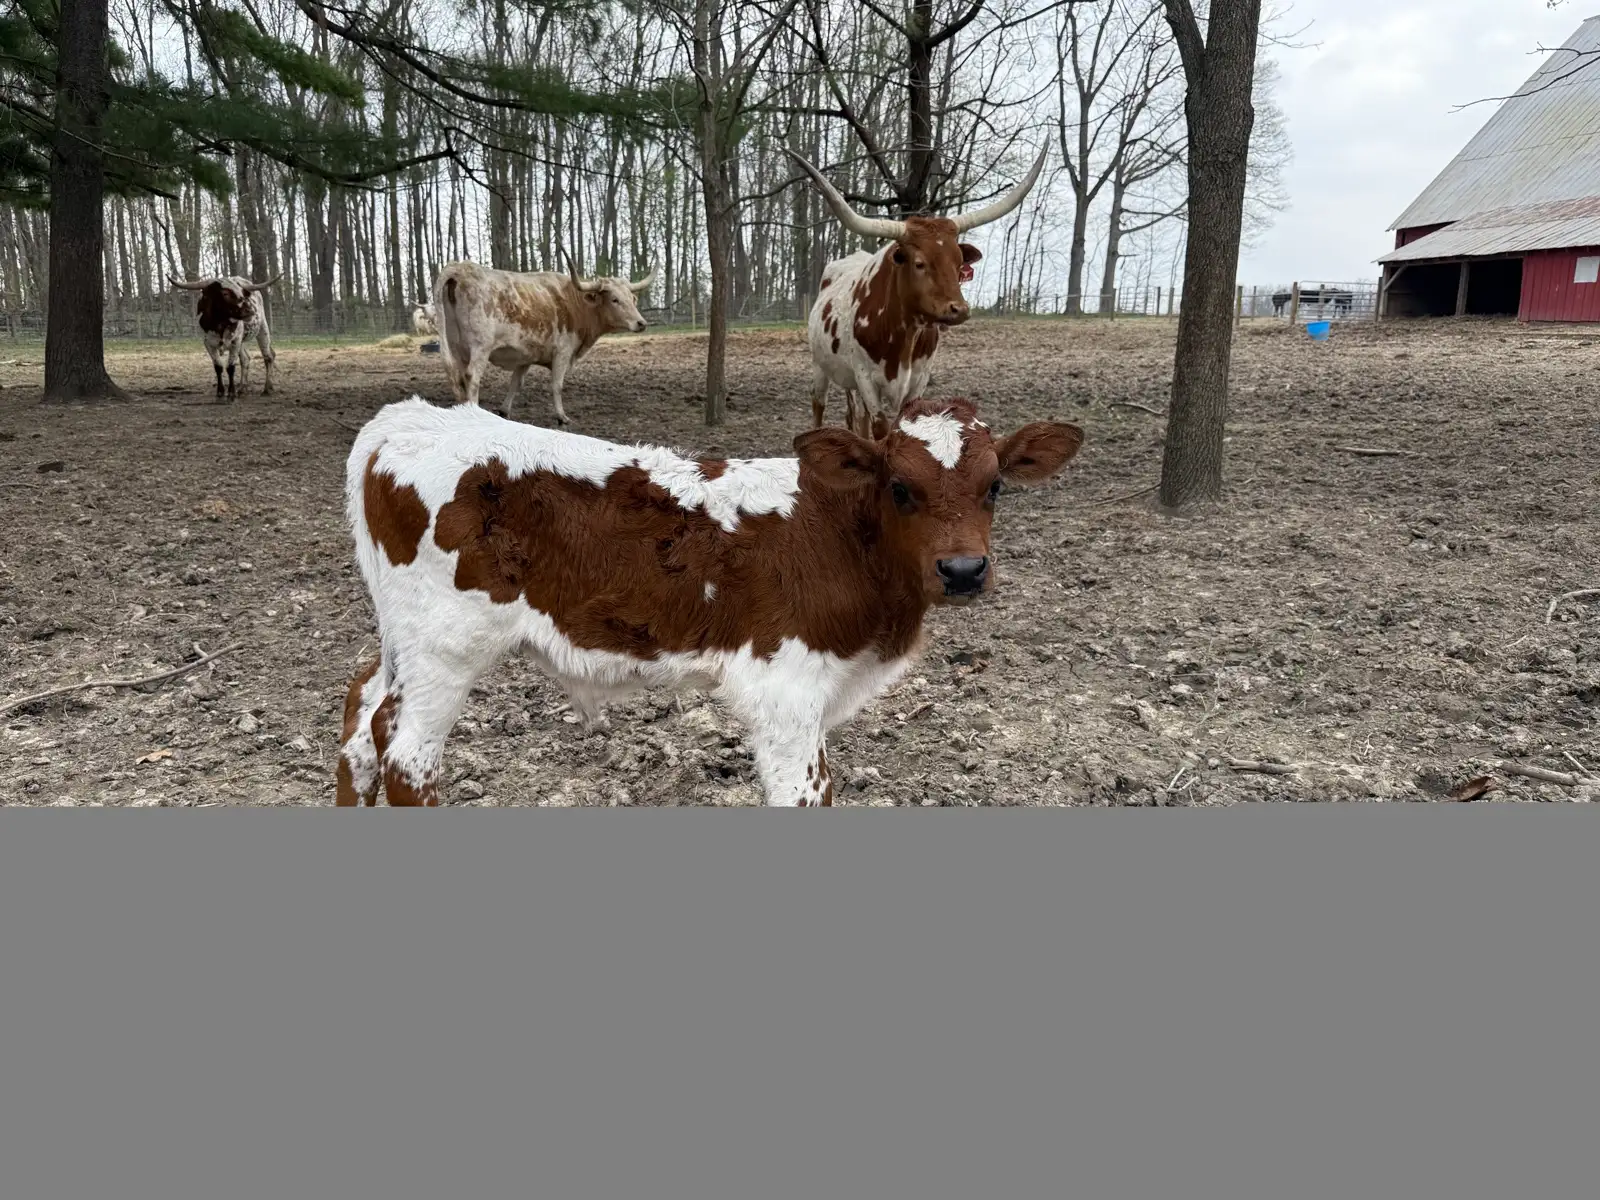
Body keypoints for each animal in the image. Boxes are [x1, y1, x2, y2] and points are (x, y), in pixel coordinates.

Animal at [337, 394, 1083, 807]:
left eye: (995, 486)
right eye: (900, 487)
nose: (963, 570)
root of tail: (413, 418)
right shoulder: (784, 689)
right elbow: (805, 793)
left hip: (403, 640)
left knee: (361, 717)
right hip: (447, 646)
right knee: (406, 755)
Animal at [432, 257, 653, 424]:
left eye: (632, 299)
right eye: (615, 299)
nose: (641, 323)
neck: (575, 303)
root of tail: (460, 269)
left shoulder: (526, 355)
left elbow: (516, 383)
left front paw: (504, 411)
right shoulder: (563, 352)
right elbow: (557, 385)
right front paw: (562, 416)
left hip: (456, 347)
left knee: (458, 377)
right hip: (480, 347)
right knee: (472, 377)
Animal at [788, 149, 1046, 438]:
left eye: (959, 264)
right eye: (919, 263)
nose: (959, 309)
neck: (903, 335)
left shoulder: (918, 381)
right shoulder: (866, 379)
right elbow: (881, 429)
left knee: (856, 417)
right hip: (820, 366)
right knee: (818, 406)